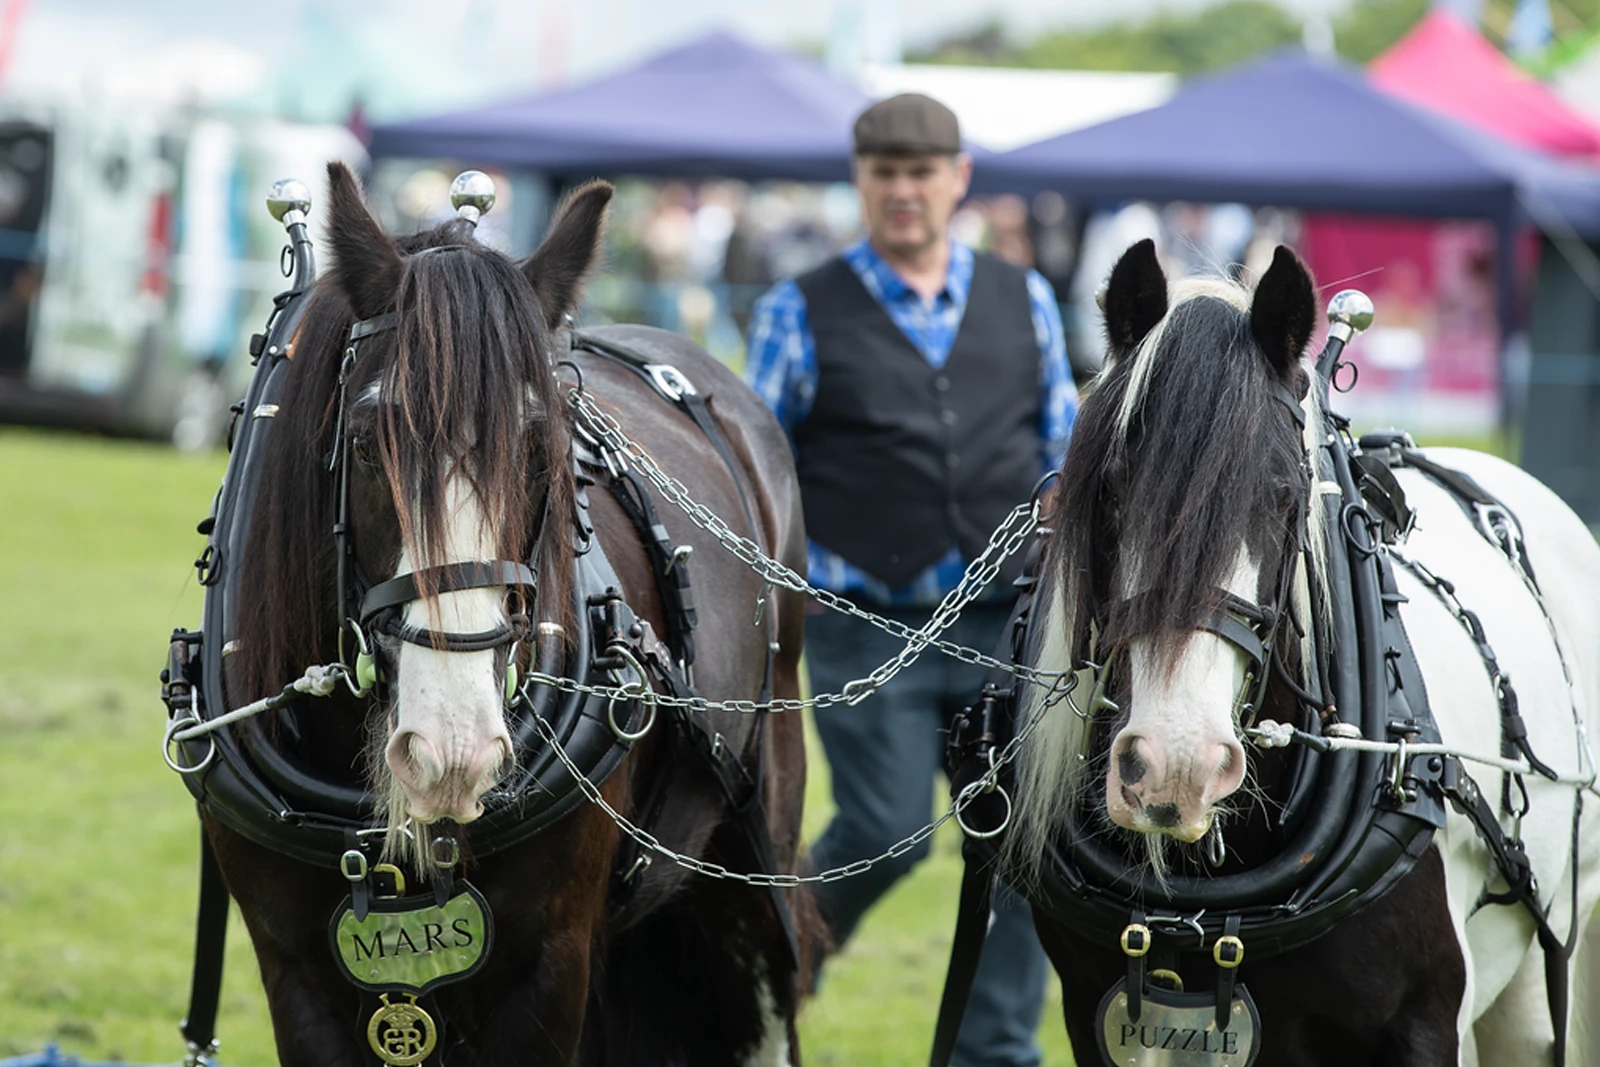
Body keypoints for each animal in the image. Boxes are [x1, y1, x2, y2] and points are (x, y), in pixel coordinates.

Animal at [1003, 238, 1600, 1065]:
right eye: (1112, 492)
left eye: (1284, 496)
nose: (1176, 767)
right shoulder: (1103, 1014)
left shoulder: (1424, 1022)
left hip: (1542, 979)